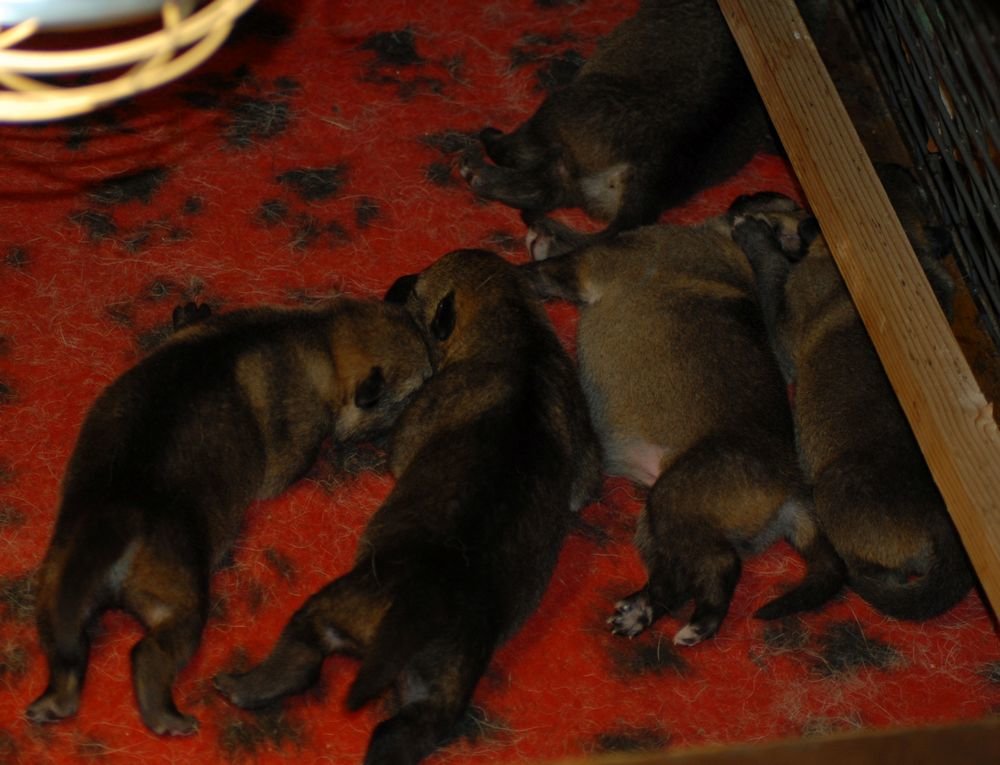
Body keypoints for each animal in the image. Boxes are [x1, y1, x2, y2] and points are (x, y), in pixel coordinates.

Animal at [26, 298, 431, 735]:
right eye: (417, 388)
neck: (321, 335)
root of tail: (120, 513)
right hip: (179, 600)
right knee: (149, 654)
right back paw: (167, 717)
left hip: (58, 591)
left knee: (68, 651)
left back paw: (55, 703)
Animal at [213, 249, 601, 765]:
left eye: (418, 289)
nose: (399, 282)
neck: (519, 334)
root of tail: (428, 601)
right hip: (439, 688)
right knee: (403, 732)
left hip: (331, 608)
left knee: (299, 659)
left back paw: (242, 687)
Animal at [521, 219, 844, 647]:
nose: (535, 228)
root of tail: (792, 491)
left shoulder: (585, 268)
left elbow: (539, 271)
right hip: (658, 524)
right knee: (676, 579)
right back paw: (640, 614)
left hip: (676, 499)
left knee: (721, 565)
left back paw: (700, 624)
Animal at [730, 193, 973, 619]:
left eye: (798, 210)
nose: (739, 202)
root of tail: (945, 527)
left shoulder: (787, 329)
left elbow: (774, 276)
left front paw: (755, 235)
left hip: (831, 489)